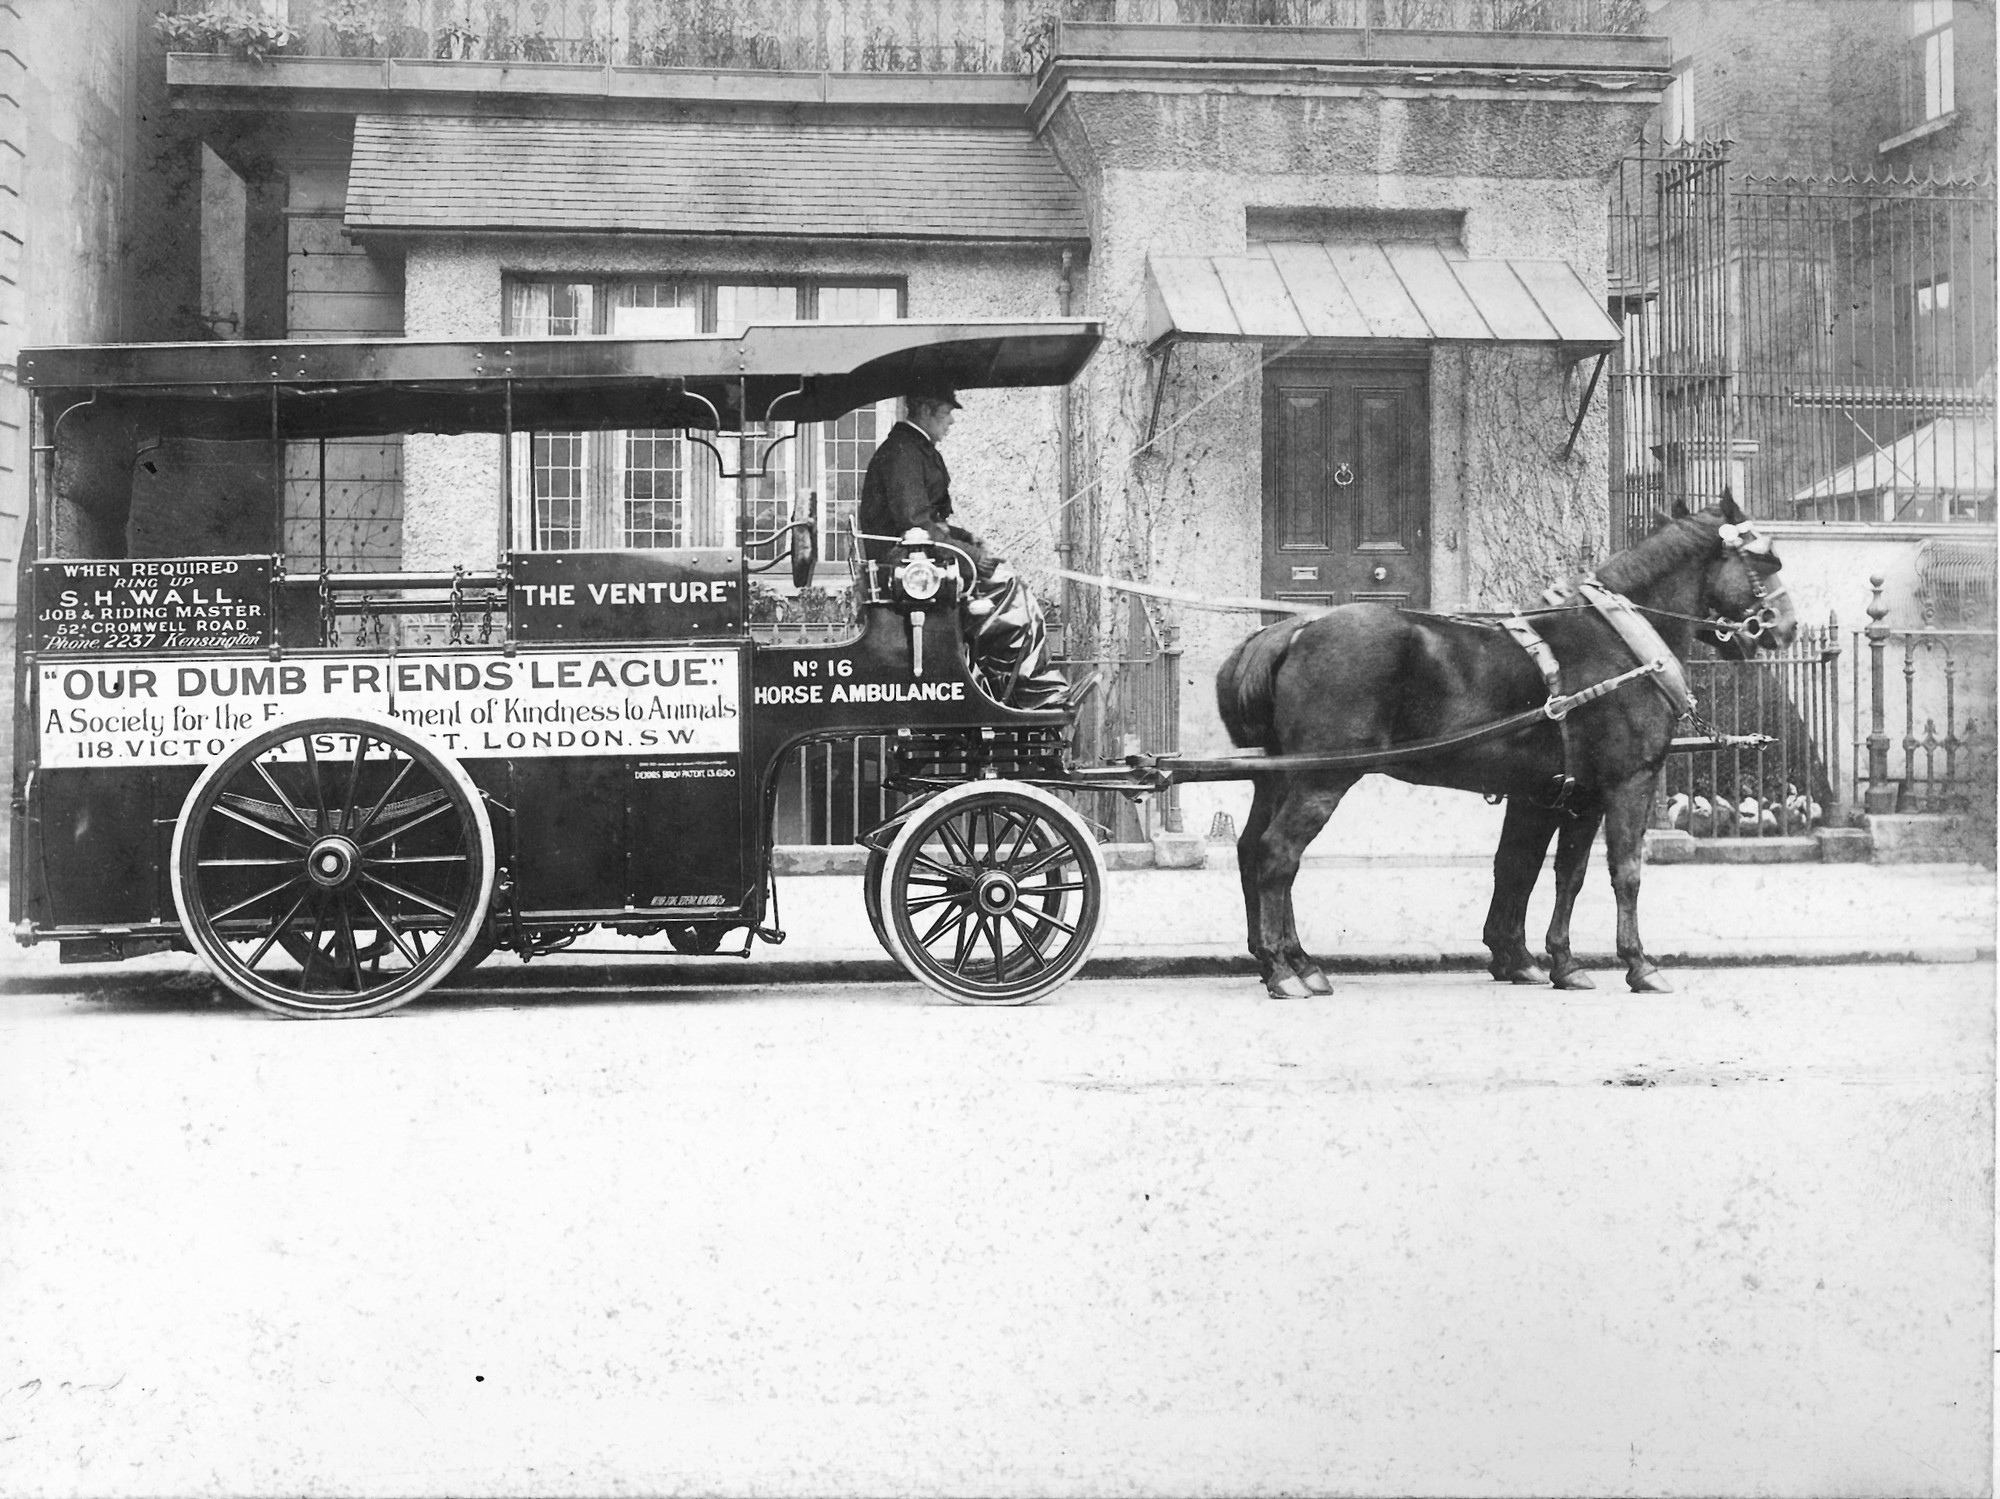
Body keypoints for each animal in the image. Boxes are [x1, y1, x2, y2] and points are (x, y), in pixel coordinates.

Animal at [1208, 499, 1808, 1003]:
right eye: (1769, 559)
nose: (1787, 628)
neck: (1621, 644)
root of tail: (1290, 631)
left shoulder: (1557, 795)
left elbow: (1540, 871)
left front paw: (1543, 960)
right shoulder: (1627, 784)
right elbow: (1624, 872)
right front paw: (1639, 964)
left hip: (1281, 776)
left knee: (1252, 849)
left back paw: (1289, 961)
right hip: (1321, 779)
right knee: (1279, 853)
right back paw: (1285, 971)